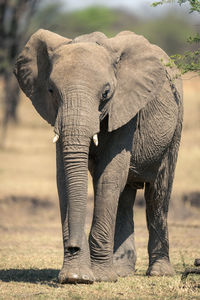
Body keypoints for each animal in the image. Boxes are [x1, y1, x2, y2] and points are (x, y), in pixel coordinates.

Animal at [13, 29, 183, 284]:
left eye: (106, 93)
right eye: (51, 90)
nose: (73, 246)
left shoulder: (126, 106)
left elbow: (109, 175)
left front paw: (99, 277)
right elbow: (64, 178)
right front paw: (75, 276)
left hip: (175, 126)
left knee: (158, 193)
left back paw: (158, 272)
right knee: (125, 195)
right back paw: (122, 271)